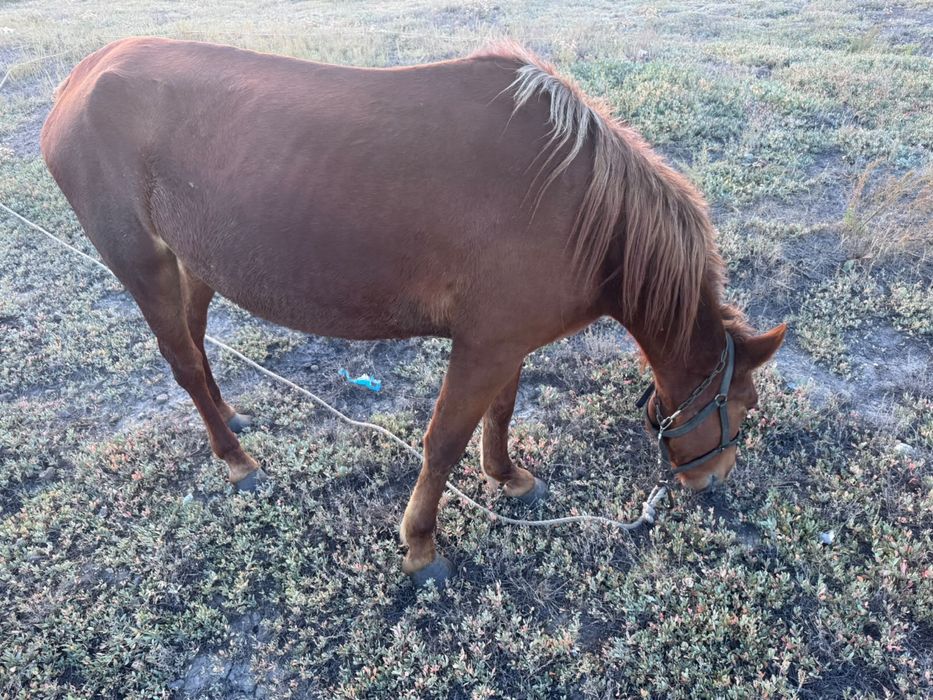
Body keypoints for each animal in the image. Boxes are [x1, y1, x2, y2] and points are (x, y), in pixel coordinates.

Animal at [39, 37, 786, 587]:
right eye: (743, 405)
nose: (714, 482)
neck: (579, 209)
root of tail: (82, 78)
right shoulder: (483, 346)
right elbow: (443, 443)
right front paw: (422, 546)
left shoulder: (506, 342)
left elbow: (500, 413)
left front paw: (507, 477)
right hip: (140, 262)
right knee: (183, 362)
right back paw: (236, 460)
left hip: (193, 261)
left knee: (196, 343)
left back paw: (230, 420)